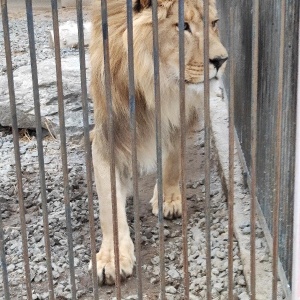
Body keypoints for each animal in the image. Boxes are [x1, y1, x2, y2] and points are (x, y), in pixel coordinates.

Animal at [89, 0, 227, 286]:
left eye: (213, 23)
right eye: (182, 26)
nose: (222, 60)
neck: (156, 85)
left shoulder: (180, 115)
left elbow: (173, 160)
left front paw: (168, 199)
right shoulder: (109, 133)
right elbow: (110, 205)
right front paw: (113, 258)